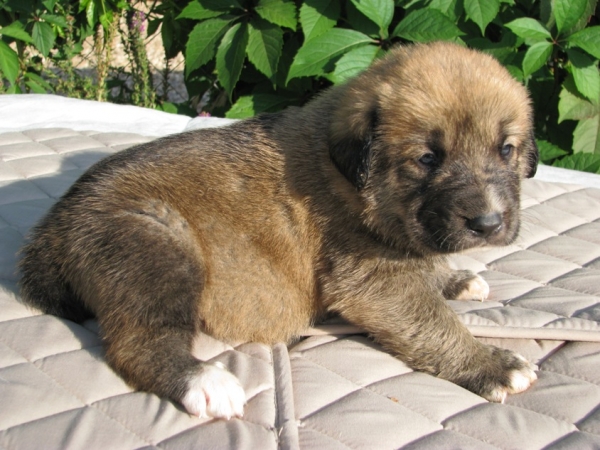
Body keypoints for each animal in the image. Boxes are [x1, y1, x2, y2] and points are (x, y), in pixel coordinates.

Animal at [18, 42, 540, 418]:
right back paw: (203, 381)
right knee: (138, 342)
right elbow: (433, 322)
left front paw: (454, 278)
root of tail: (51, 231)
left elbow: (426, 268)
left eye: (506, 150)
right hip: (155, 244)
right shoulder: (373, 279)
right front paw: (490, 364)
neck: (348, 178)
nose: (488, 224)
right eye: (428, 158)